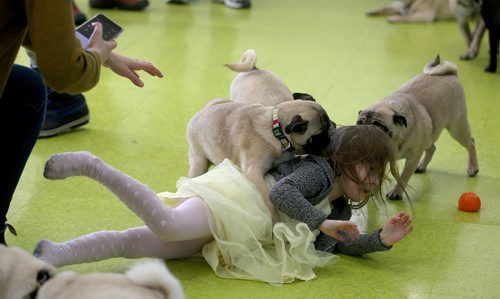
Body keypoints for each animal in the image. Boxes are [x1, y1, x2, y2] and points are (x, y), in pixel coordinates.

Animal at [358, 56, 478, 202]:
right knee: (432, 148)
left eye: (379, 126)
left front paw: (396, 192)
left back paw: (473, 168)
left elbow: (403, 177)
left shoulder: (413, 158)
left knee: (471, 143)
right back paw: (422, 166)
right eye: (358, 123)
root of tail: (451, 74)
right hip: (431, 133)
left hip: (457, 128)